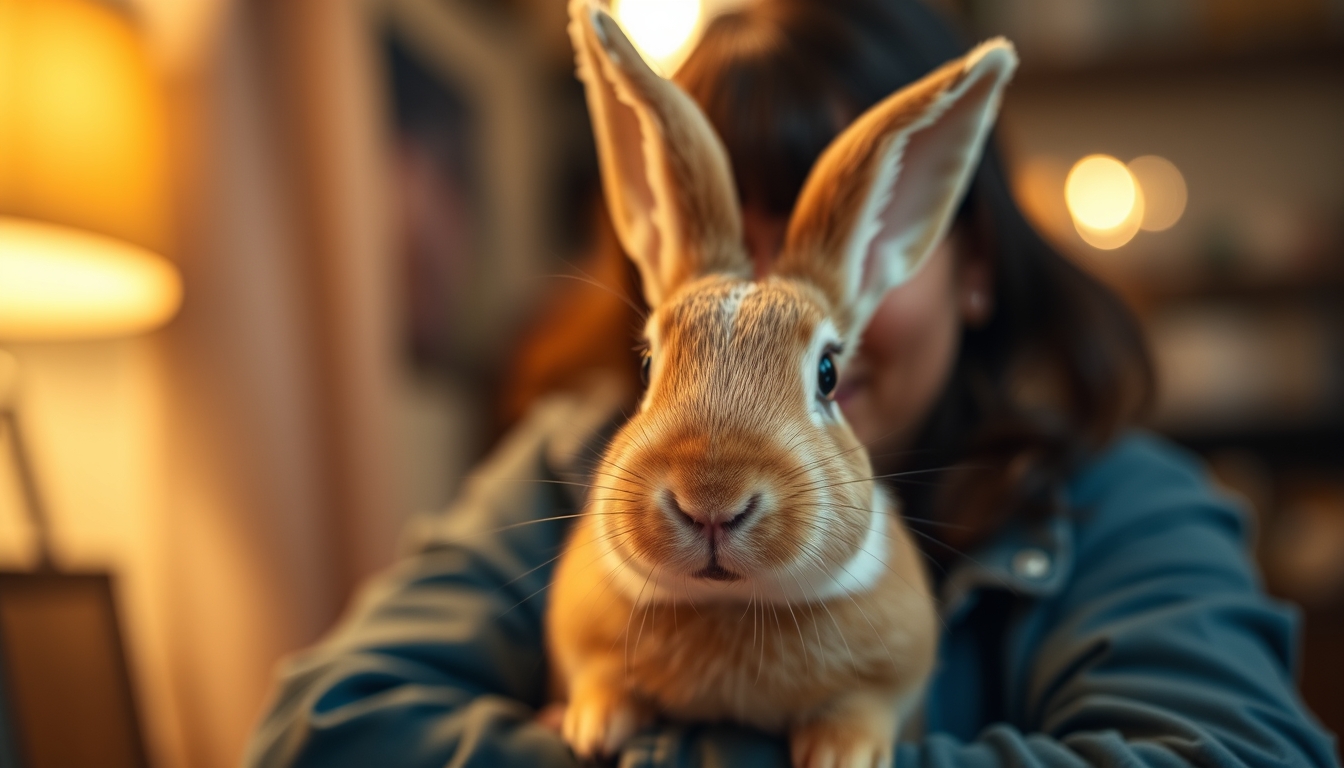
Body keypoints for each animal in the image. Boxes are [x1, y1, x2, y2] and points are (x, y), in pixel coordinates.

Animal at [546, 2, 1018, 766]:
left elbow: (861, 706)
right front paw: (594, 727)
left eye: (829, 374)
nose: (711, 503)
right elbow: (599, 672)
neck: (732, 607)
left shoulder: (891, 678)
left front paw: (842, 754)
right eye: (647, 364)